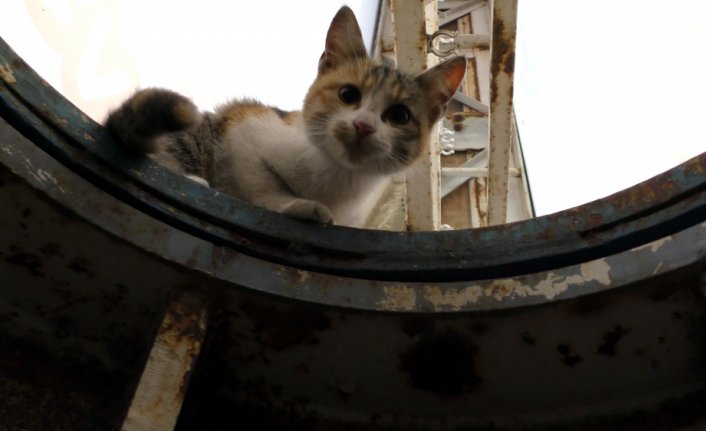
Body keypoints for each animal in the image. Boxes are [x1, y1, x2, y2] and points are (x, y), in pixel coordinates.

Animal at [104, 6, 464, 228]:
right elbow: (261, 182)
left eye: (399, 115)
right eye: (348, 95)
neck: (338, 176)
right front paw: (296, 204)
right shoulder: (245, 125)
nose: (363, 126)